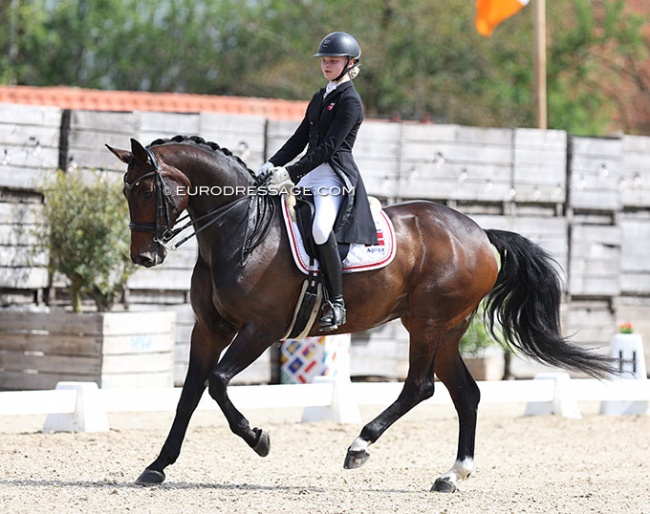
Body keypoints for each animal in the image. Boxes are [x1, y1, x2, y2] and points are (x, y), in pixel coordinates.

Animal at [106, 134, 612, 490]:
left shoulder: (260, 329)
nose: (145, 257)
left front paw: (258, 438)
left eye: (147, 190)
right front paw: (157, 466)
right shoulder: (209, 328)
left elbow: (216, 383)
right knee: (465, 394)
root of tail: (481, 233)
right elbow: (190, 393)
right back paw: (451, 475)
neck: (241, 231)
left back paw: (359, 445)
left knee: (420, 387)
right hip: (448, 330)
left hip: (426, 323)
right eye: (127, 192)